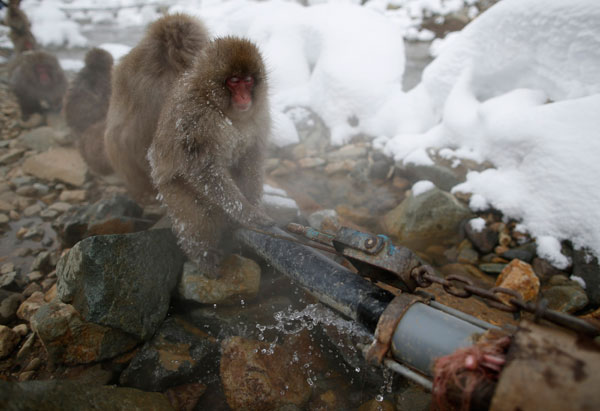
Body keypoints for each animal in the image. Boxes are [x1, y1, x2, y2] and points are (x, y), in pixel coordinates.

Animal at [149, 37, 274, 278]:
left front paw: (253, 202)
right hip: (172, 189)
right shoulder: (195, 117)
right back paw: (202, 254)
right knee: (193, 219)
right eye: (234, 81)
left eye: (248, 80)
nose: (244, 96)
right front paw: (246, 213)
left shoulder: (260, 113)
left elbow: (251, 156)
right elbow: (204, 169)